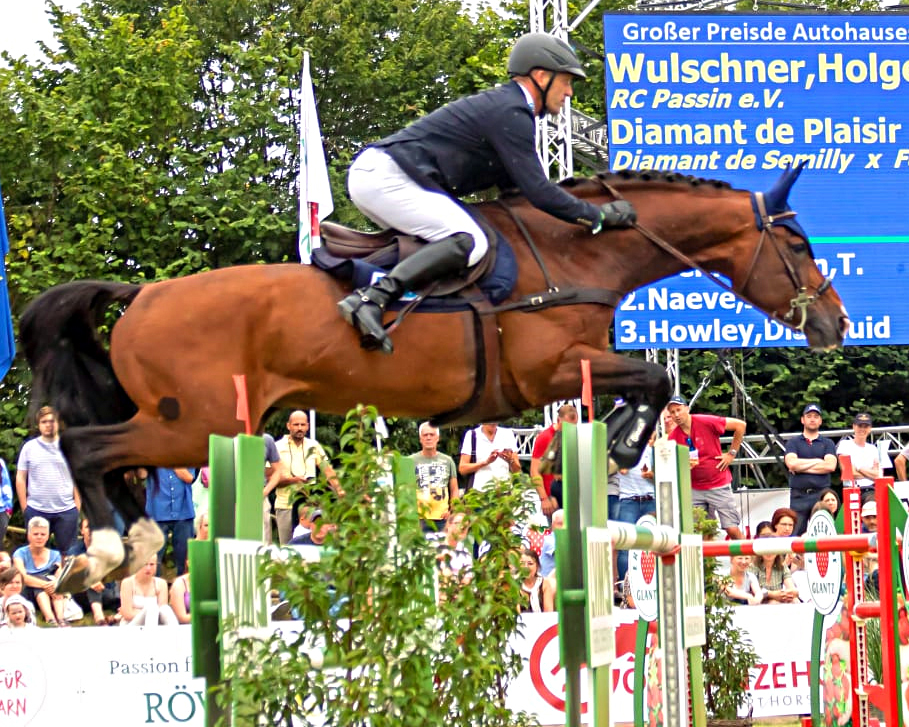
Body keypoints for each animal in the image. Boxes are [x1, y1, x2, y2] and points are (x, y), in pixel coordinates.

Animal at [17, 166, 848, 592]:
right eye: (797, 245)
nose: (834, 322)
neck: (576, 253)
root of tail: (142, 292)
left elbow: (641, 387)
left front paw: (596, 444)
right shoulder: (547, 368)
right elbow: (648, 382)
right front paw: (611, 448)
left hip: (189, 422)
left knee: (111, 459)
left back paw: (124, 545)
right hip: (196, 421)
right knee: (87, 448)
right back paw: (105, 550)